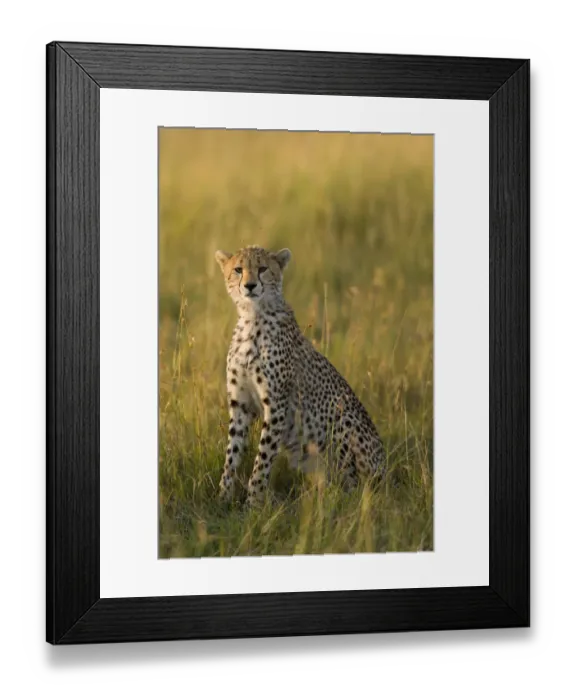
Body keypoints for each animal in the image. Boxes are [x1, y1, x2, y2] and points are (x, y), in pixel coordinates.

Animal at [215, 245, 385, 506]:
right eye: (238, 269)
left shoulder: (276, 405)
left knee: (356, 484)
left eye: (262, 268)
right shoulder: (240, 403)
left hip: (343, 419)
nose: (250, 286)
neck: (253, 317)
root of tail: (386, 469)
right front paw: (223, 497)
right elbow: (232, 454)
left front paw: (253, 503)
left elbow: (263, 457)